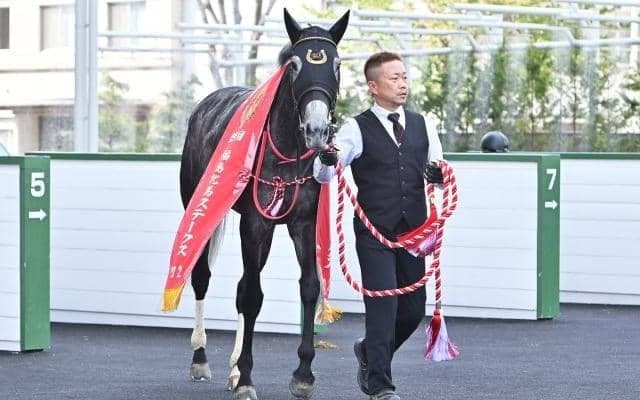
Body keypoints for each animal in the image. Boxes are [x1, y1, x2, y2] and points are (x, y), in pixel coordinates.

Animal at [178, 9, 350, 400]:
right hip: (201, 205)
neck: (286, 152)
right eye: (295, 66)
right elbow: (253, 295)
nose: (317, 129)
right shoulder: (255, 223)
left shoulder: (303, 223)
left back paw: (231, 367)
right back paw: (201, 358)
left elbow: (308, 288)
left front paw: (303, 375)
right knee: (203, 276)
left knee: (242, 285)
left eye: (336, 64)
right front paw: (246, 378)